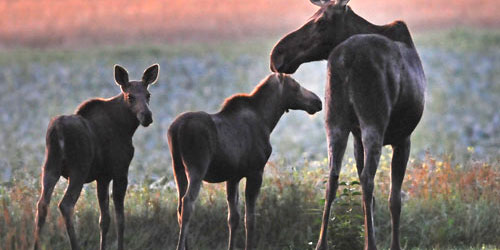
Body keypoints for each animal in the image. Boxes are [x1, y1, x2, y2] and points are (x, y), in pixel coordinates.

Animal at [33, 63, 160, 249]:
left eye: (148, 95)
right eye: (130, 96)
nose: (147, 116)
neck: (127, 128)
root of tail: (58, 130)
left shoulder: (103, 176)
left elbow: (104, 220)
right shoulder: (121, 170)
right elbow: (120, 219)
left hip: (50, 167)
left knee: (42, 204)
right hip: (78, 169)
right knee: (66, 205)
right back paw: (75, 245)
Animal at [166, 73, 322, 250]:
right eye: (295, 85)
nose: (318, 101)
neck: (268, 120)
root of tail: (176, 129)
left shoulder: (232, 177)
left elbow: (233, 218)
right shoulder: (256, 171)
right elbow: (250, 219)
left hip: (178, 167)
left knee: (179, 205)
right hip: (197, 167)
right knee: (187, 203)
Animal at [270, 0, 426, 250]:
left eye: (321, 22)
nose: (277, 55)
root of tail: (345, 59)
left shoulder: (356, 137)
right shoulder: (404, 138)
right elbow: (394, 199)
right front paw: (392, 245)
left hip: (334, 121)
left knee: (332, 178)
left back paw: (321, 243)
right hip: (373, 121)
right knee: (367, 179)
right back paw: (370, 245)